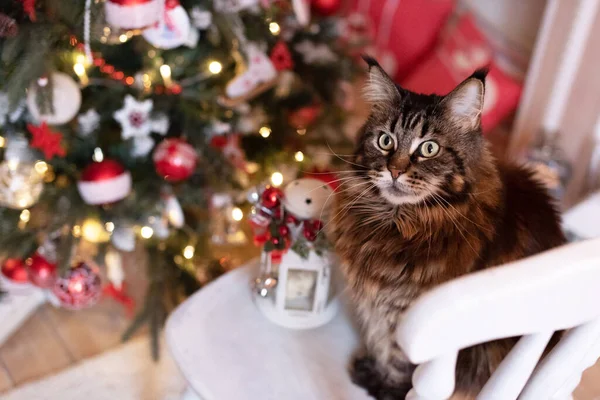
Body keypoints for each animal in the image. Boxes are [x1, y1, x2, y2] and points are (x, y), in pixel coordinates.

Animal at [328, 57, 568, 400]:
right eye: (385, 141)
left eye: (429, 149)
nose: (394, 170)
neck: (397, 223)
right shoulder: (380, 307)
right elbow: (382, 346)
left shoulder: (411, 322)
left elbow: (399, 364)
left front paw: (384, 387)